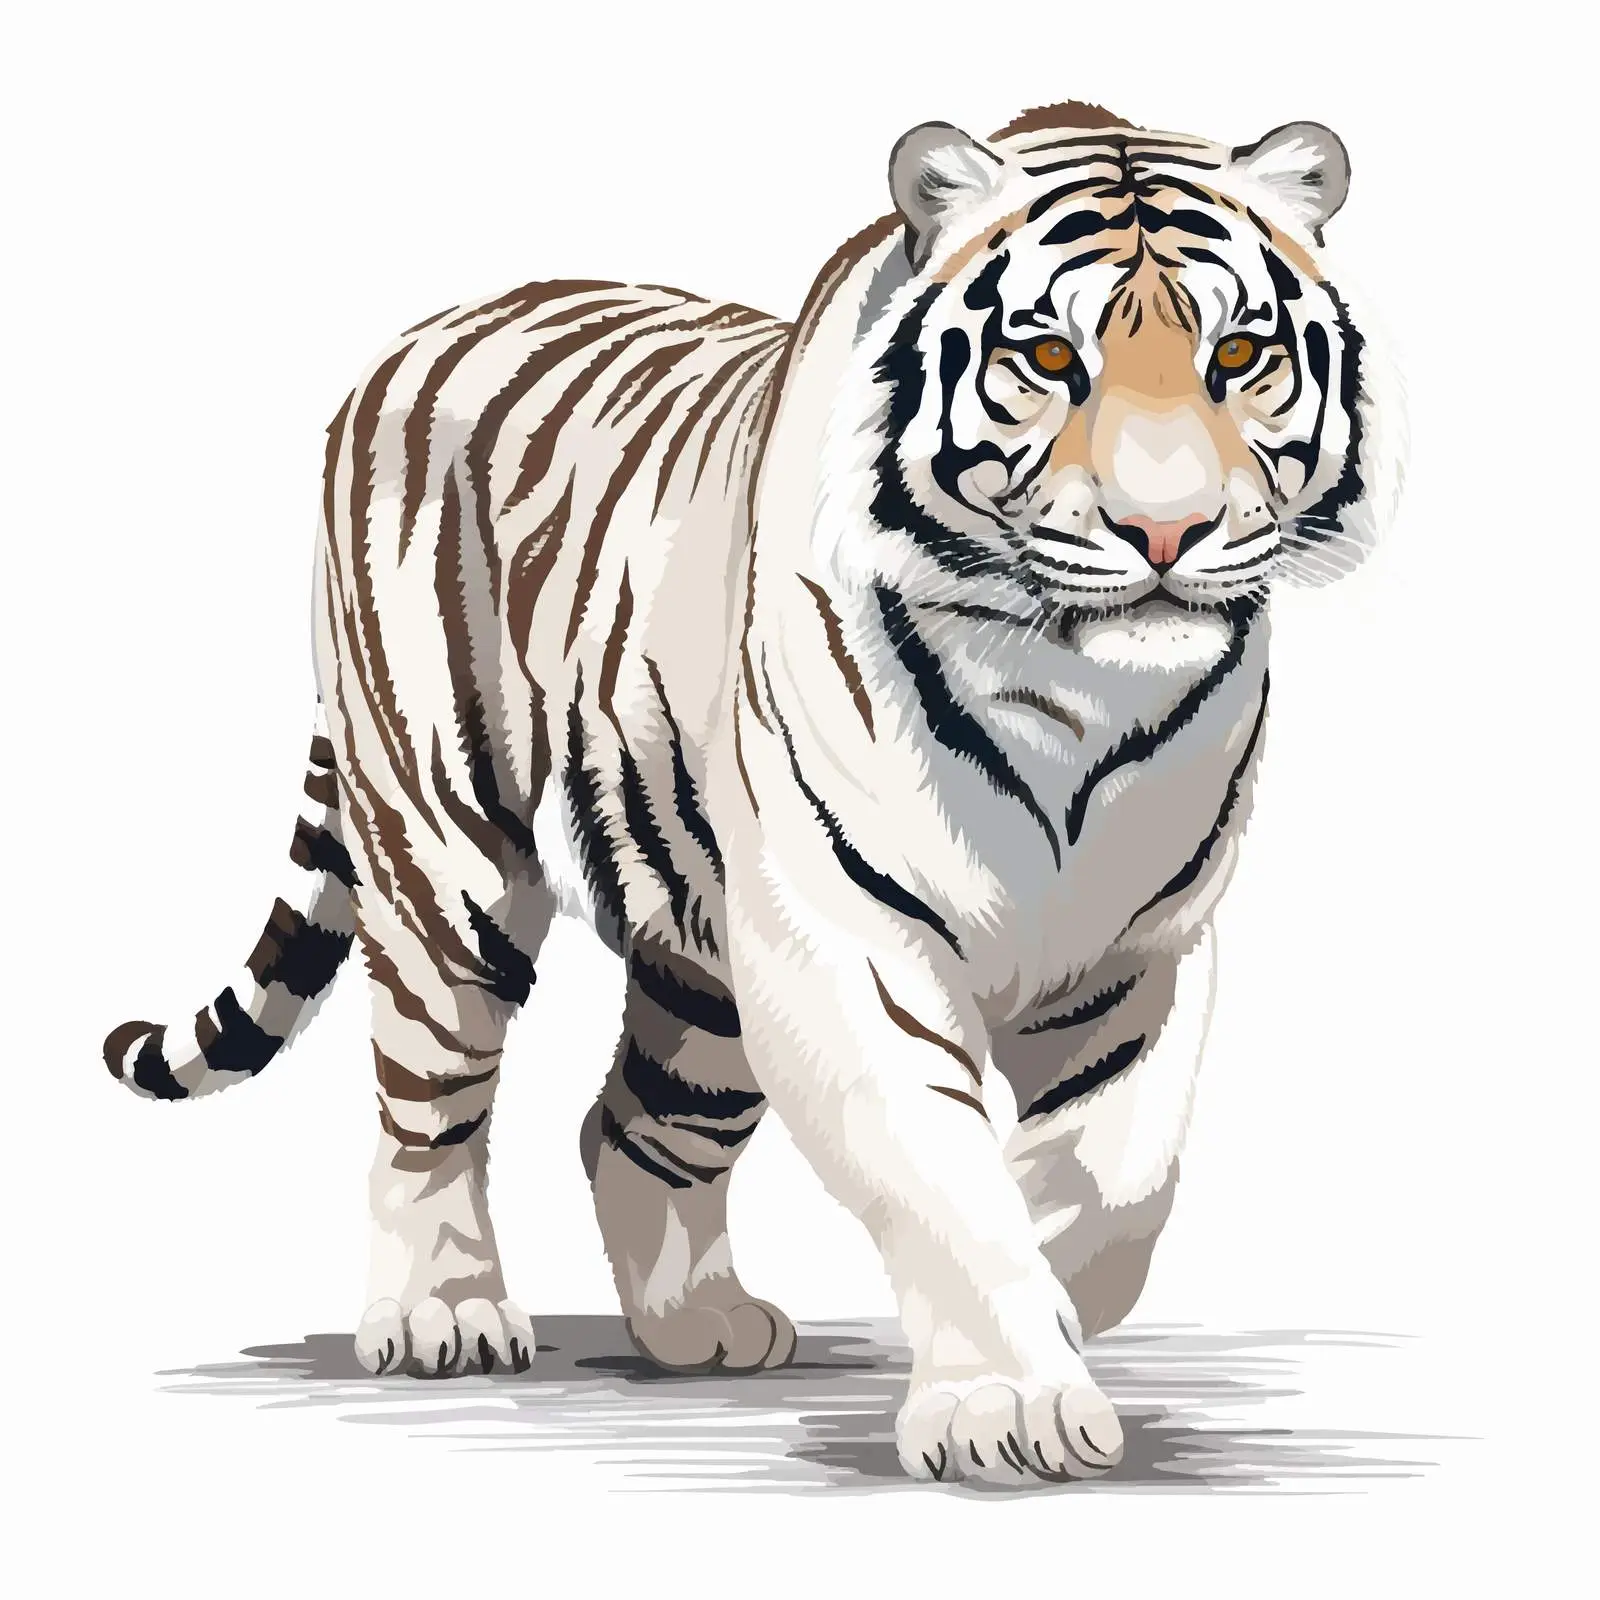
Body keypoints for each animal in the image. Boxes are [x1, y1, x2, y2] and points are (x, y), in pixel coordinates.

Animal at [103, 99, 1402, 1486]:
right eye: (1050, 355)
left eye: (1240, 353)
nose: (1167, 532)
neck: (1066, 689)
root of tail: (411, 339)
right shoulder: (848, 939)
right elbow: (943, 1172)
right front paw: (1005, 1403)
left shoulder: (1143, 948)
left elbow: (1114, 1181)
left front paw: (1049, 1298)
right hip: (446, 860)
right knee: (427, 1108)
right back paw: (439, 1316)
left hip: (704, 939)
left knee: (631, 1123)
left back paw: (698, 1325)